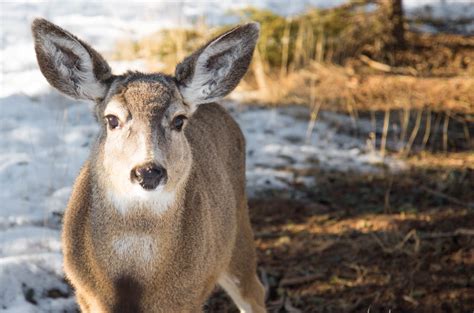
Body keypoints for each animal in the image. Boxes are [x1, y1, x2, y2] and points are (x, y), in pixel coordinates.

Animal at [31, 18, 264, 310]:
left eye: (179, 120)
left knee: (255, 292)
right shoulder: (85, 295)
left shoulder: (188, 298)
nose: (148, 171)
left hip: (239, 232)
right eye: (112, 119)